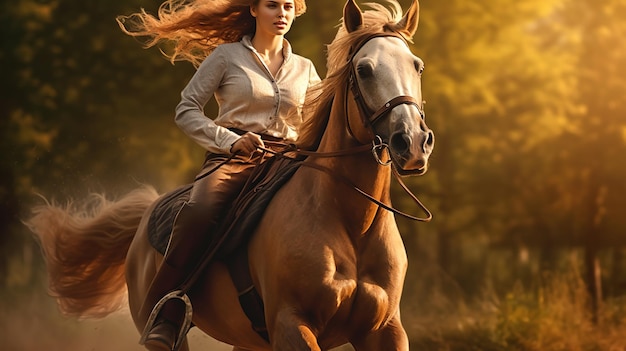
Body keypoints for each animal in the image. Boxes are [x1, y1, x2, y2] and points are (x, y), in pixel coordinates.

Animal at [26, 1, 432, 350]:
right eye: (363, 70)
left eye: (417, 66)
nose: (412, 142)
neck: (350, 222)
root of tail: (145, 218)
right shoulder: (292, 325)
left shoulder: (385, 331)